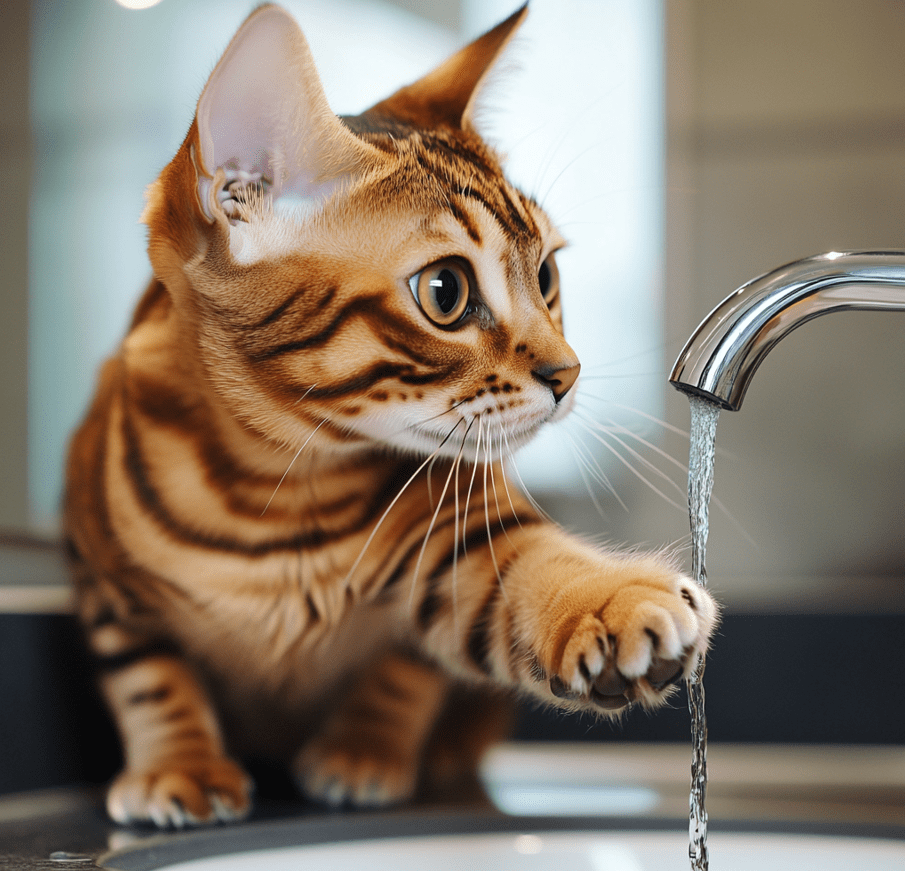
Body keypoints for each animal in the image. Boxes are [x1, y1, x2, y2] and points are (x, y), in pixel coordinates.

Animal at [63, 1, 716, 832]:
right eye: (445, 292)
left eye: (545, 274)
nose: (566, 373)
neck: (272, 485)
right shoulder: (106, 582)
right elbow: (148, 674)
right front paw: (180, 764)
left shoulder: (460, 537)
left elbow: (434, 649)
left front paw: (365, 748)